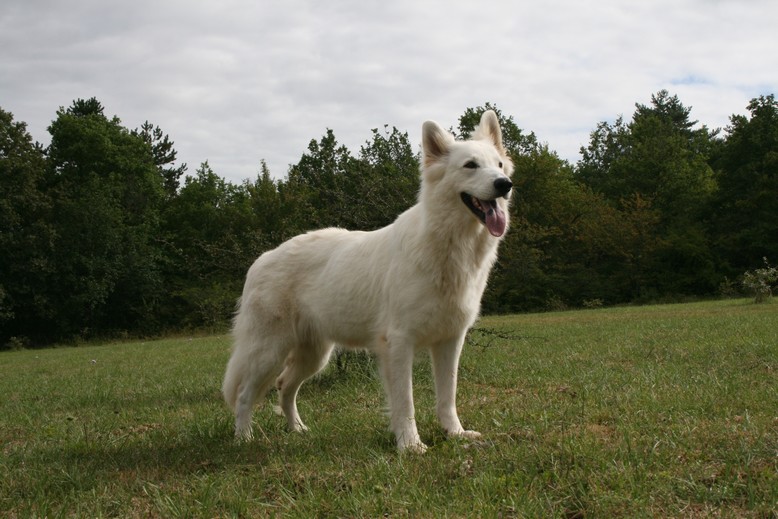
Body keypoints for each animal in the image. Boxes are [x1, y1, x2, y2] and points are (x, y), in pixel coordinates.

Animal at [221, 111, 512, 452]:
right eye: (470, 165)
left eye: (499, 165)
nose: (504, 184)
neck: (449, 245)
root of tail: (261, 260)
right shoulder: (398, 343)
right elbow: (405, 403)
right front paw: (411, 446)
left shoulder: (450, 341)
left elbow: (447, 397)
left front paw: (454, 433)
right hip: (269, 352)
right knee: (244, 395)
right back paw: (243, 438)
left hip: (313, 356)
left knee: (285, 387)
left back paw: (298, 430)